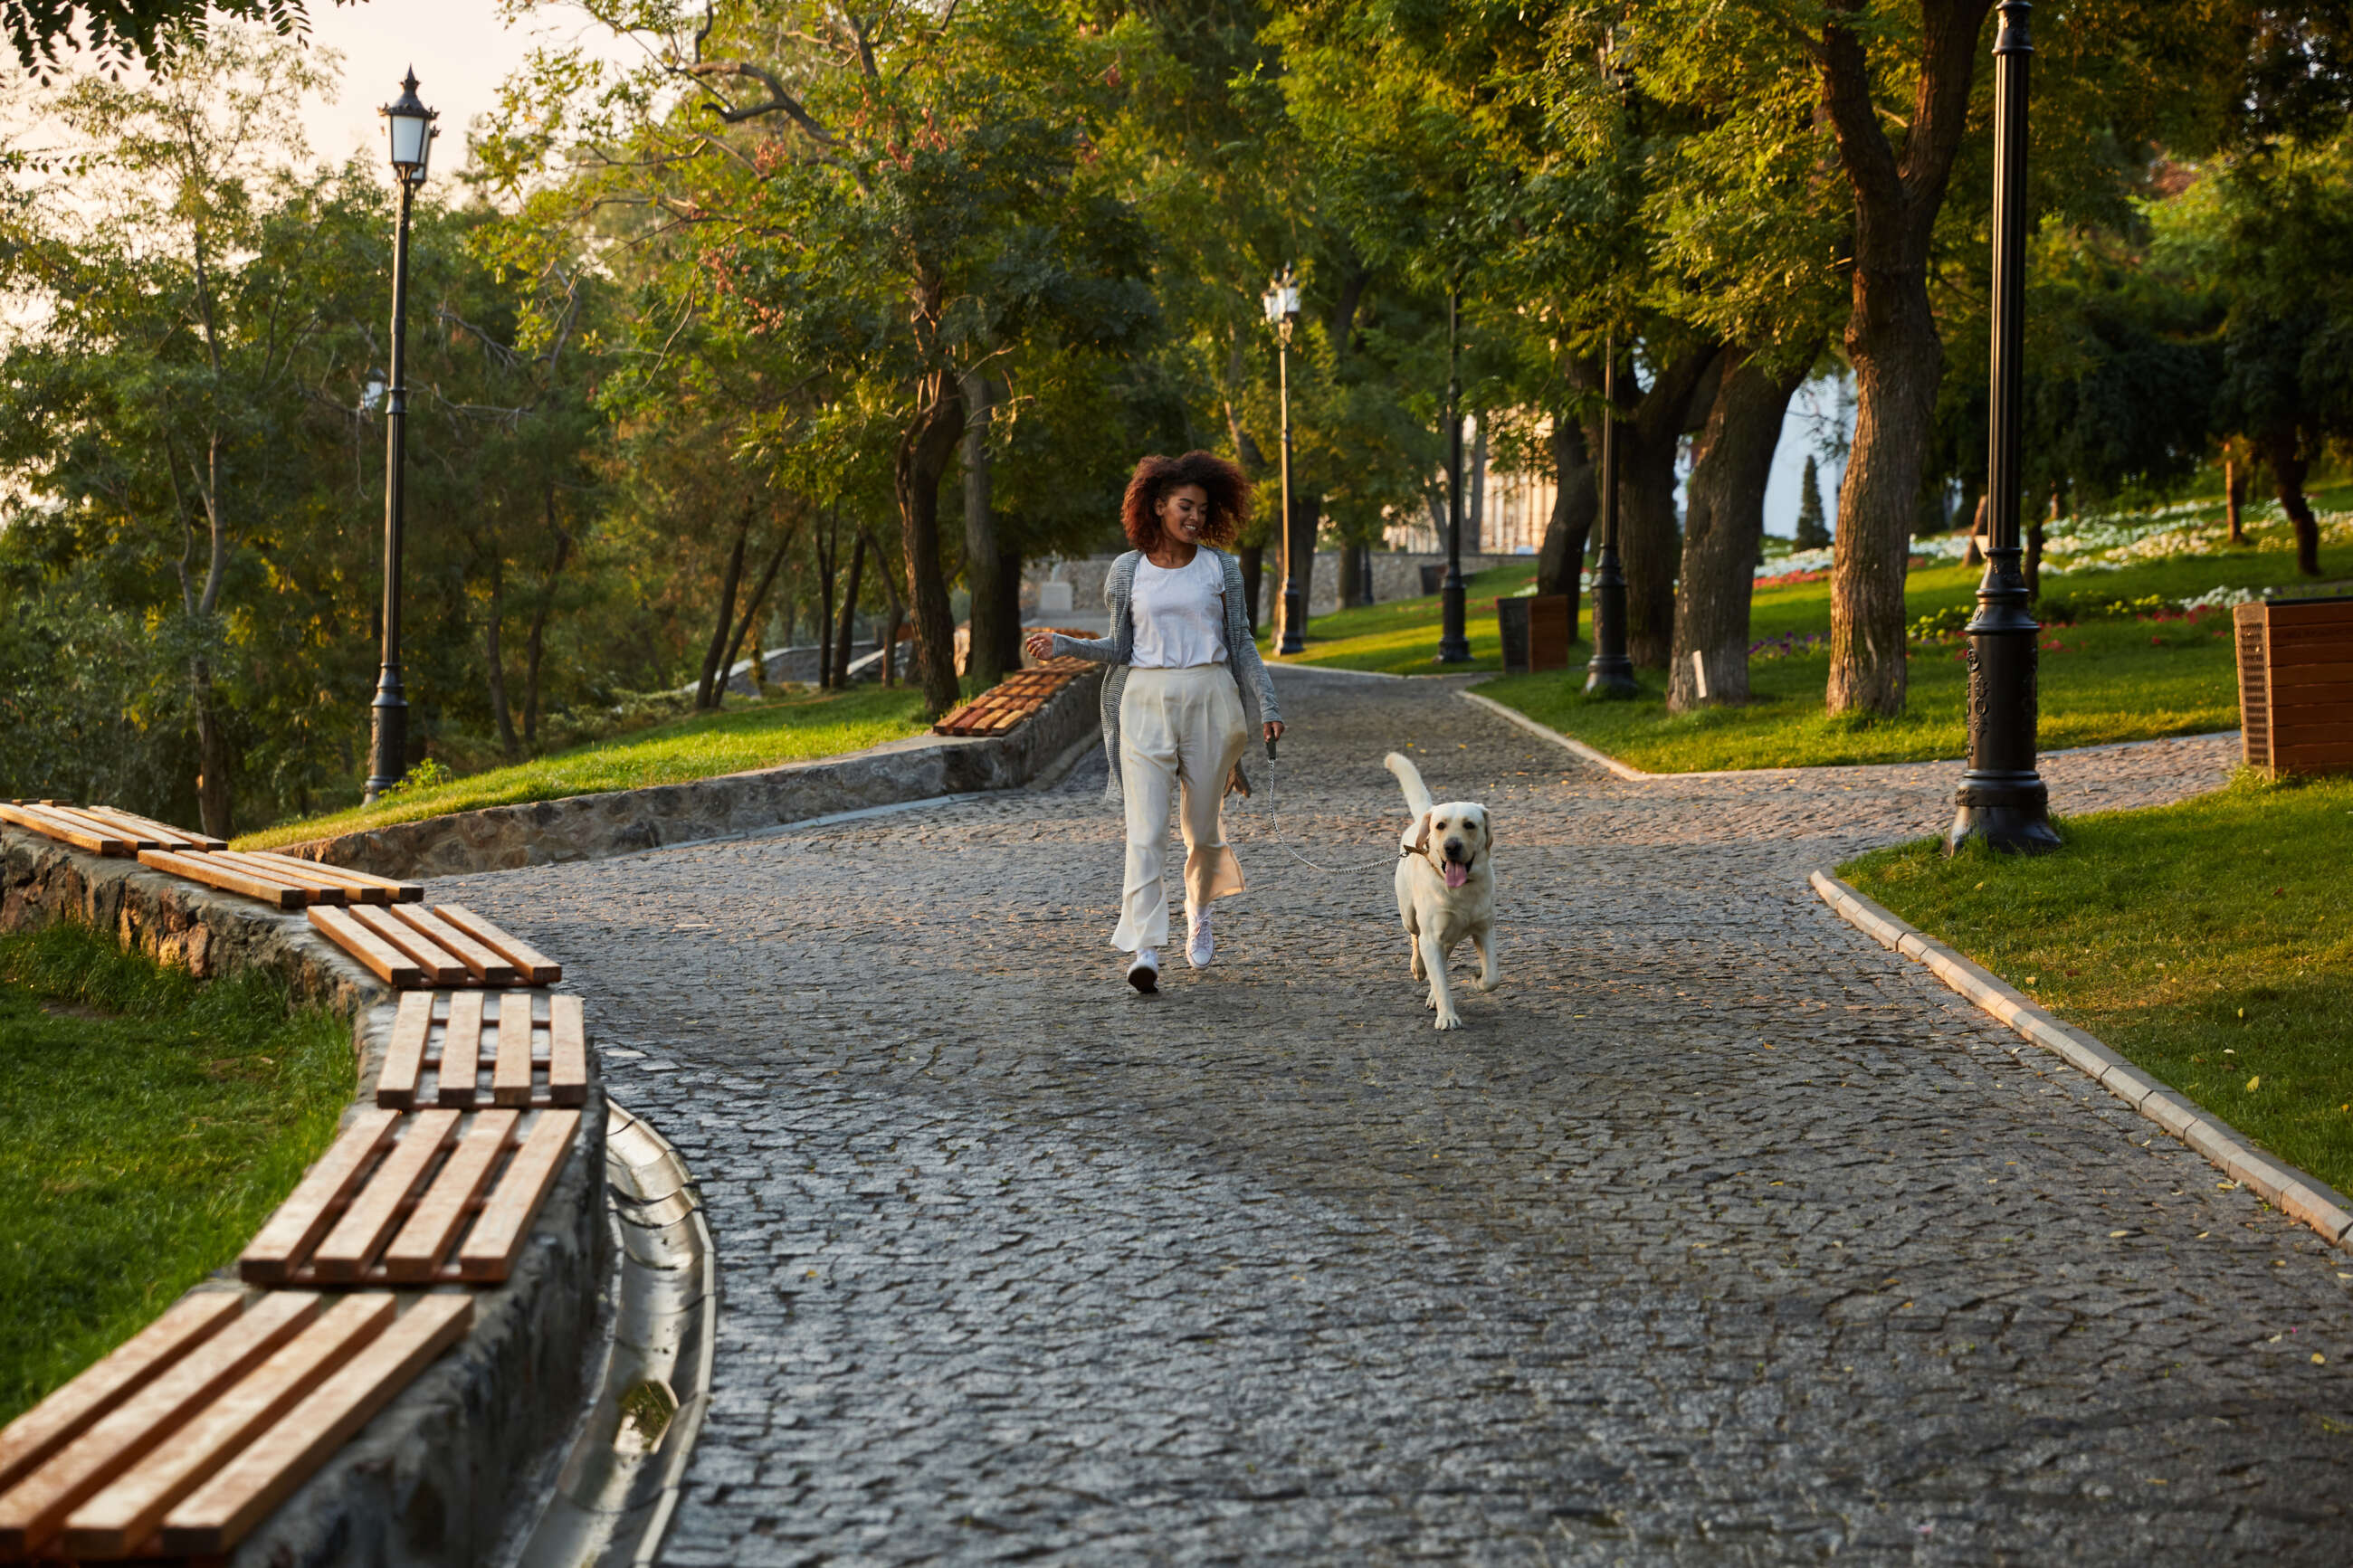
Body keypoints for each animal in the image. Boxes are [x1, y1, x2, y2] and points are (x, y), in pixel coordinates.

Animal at [1383, 756, 1496, 1034]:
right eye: (1440, 826)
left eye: (1469, 825)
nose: (1451, 846)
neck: (1460, 890)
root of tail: (1426, 813)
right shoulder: (1432, 935)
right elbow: (1441, 980)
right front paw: (1447, 1017)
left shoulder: (1484, 929)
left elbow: (1492, 977)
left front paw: (1478, 979)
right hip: (1410, 916)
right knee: (1416, 939)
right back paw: (1419, 967)